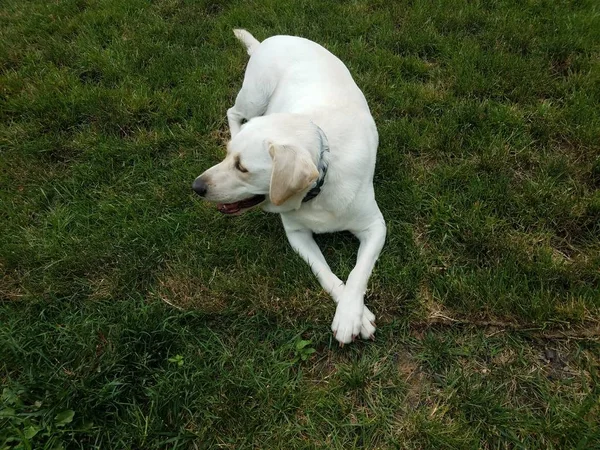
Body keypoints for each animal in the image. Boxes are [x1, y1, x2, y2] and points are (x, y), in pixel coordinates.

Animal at [195, 29, 386, 344]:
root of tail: (266, 41)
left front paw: (350, 315)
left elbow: (358, 272)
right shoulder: (297, 235)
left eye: (242, 168)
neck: (321, 182)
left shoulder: (375, 226)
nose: (196, 186)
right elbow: (325, 272)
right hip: (254, 96)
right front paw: (357, 316)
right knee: (233, 111)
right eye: (227, 156)